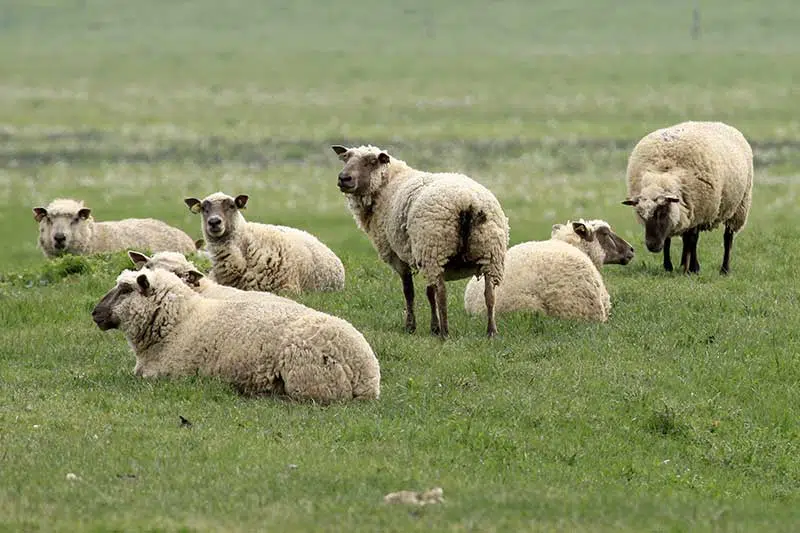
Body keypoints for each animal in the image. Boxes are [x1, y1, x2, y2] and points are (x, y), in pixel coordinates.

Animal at [331, 144, 509, 339]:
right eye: (346, 158)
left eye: (371, 162)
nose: (344, 178)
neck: (387, 185)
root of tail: (467, 201)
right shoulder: (421, 257)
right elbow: (428, 292)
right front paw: (433, 327)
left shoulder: (399, 256)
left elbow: (409, 292)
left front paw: (411, 327)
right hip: (489, 253)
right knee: (489, 294)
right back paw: (491, 332)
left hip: (435, 247)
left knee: (442, 294)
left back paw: (445, 334)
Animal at [622, 121, 753, 275]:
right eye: (641, 215)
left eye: (662, 212)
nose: (652, 246)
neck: (662, 171)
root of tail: (720, 123)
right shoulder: (683, 210)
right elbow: (669, 240)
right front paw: (669, 267)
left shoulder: (698, 210)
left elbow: (692, 240)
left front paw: (693, 269)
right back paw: (684, 264)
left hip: (739, 207)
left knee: (727, 238)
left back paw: (724, 269)